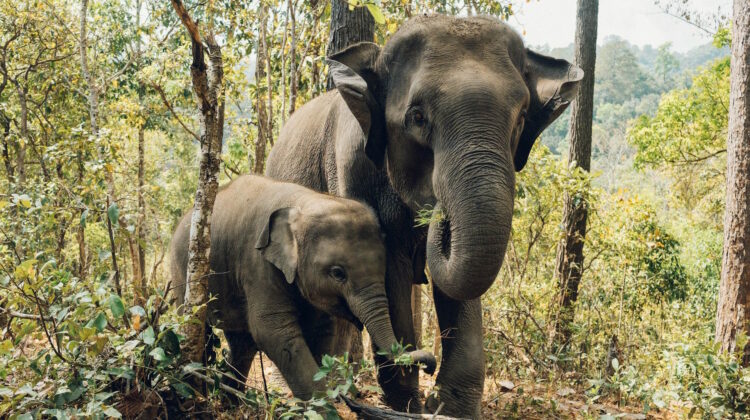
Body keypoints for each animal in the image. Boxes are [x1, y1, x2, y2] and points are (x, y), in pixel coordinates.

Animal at [170, 175, 436, 401]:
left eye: (383, 269)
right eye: (338, 273)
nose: (430, 366)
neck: (304, 202)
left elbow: (321, 330)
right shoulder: (258, 264)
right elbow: (273, 331)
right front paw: (324, 406)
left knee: (242, 344)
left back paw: (231, 402)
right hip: (183, 273)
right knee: (199, 329)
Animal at [265, 15, 582, 417]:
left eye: (522, 117)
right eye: (416, 117)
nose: (437, 211)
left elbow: (459, 283)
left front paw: (449, 407)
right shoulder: (352, 170)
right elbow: (391, 270)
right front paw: (409, 402)